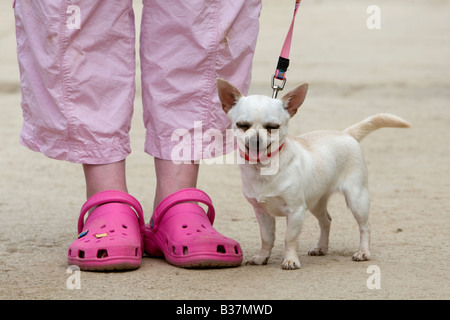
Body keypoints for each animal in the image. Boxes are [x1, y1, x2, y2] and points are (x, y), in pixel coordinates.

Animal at [216, 78, 410, 270]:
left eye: (273, 127)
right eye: (242, 126)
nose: (255, 140)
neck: (263, 168)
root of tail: (346, 134)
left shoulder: (296, 212)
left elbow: (289, 238)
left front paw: (290, 260)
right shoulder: (262, 213)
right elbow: (267, 238)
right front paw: (261, 257)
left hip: (357, 200)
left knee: (365, 227)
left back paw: (363, 252)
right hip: (316, 202)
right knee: (326, 221)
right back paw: (321, 247)